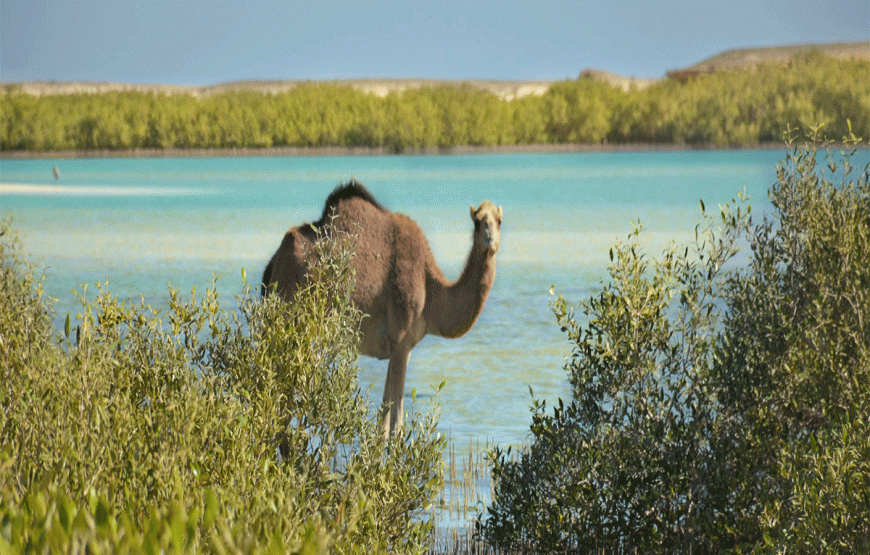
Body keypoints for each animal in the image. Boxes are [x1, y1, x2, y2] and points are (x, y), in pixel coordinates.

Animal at [260, 180, 504, 436]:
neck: (430, 285)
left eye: (499, 220)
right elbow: (393, 426)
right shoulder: (401, 337)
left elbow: (385, 421)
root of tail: (274, 264)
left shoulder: (402, 346)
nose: (489, 237)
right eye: (477, 221)